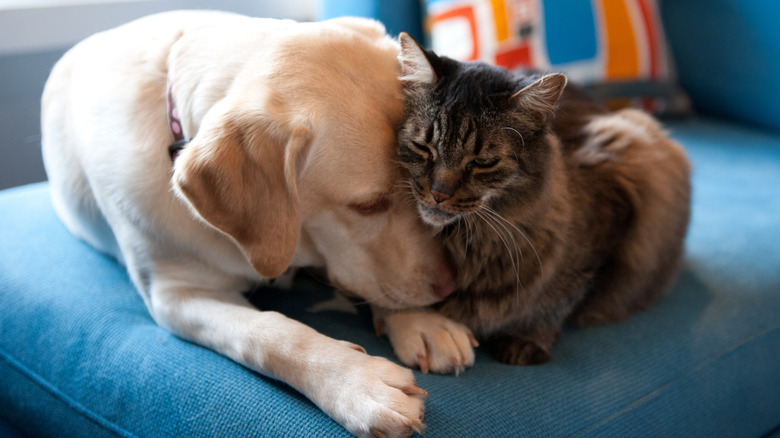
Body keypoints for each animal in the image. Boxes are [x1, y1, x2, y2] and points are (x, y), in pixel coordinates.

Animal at [42, 11, 458, 438]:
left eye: (420, 189)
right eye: (367, 205)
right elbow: (269, 333)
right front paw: (357, 383)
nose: (450, 286)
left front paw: (421, 322)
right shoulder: (175, 297)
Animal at [374, 32, 692, 372]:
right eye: (423, 147)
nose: (439, 193)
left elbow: (560, 300)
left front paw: (528, 339)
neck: (471, 245)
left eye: (482, 162)